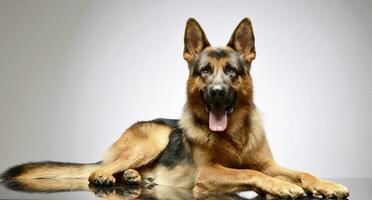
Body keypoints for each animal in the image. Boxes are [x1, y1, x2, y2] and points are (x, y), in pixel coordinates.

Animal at [0, 18, 348, 198]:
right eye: (204, 71)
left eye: (231, 71)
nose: (217, 93)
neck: (234, 135)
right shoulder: (209, 173)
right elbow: (248, 172)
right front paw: (283, 186)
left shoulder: (269, 164)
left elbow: (301, 171)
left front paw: (326, 185)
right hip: (156, 136)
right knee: (96, 171)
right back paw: (109, 177)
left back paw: (134, 177)